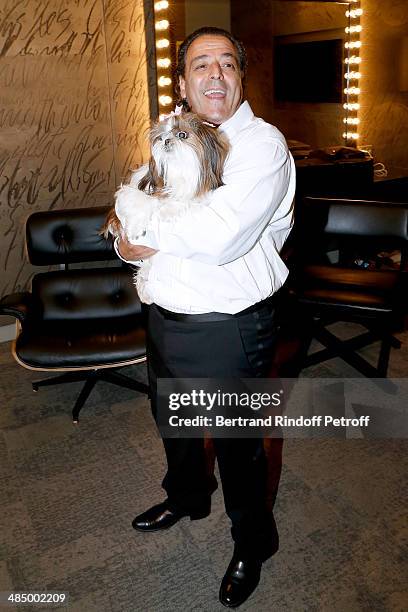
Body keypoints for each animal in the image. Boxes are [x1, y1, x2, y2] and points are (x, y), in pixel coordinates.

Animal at [102, 111, 230, 302]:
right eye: (160, 137)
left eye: (182, 135)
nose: (166, 140)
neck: (178, 171)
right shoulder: (129, 192)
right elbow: (142, 201)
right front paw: (136, 227)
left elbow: (184, 201)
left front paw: (168, 209)